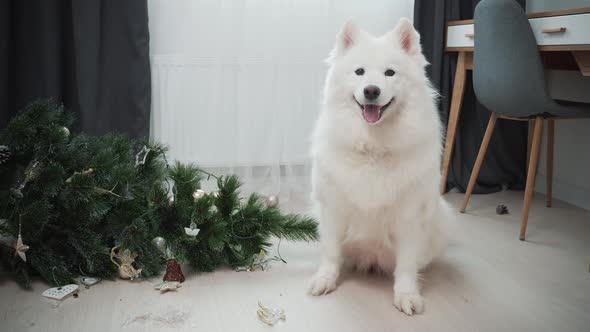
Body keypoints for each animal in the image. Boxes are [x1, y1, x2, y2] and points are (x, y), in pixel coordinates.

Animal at [308, 18, 450, 316]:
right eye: (359, 72)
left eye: (390, 73)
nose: (371, 90)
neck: (373, 147)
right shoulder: (333, 209)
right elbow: (331, 253)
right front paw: (325, 280)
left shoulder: (409, 216)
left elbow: (406, 264)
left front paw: (407, 294)